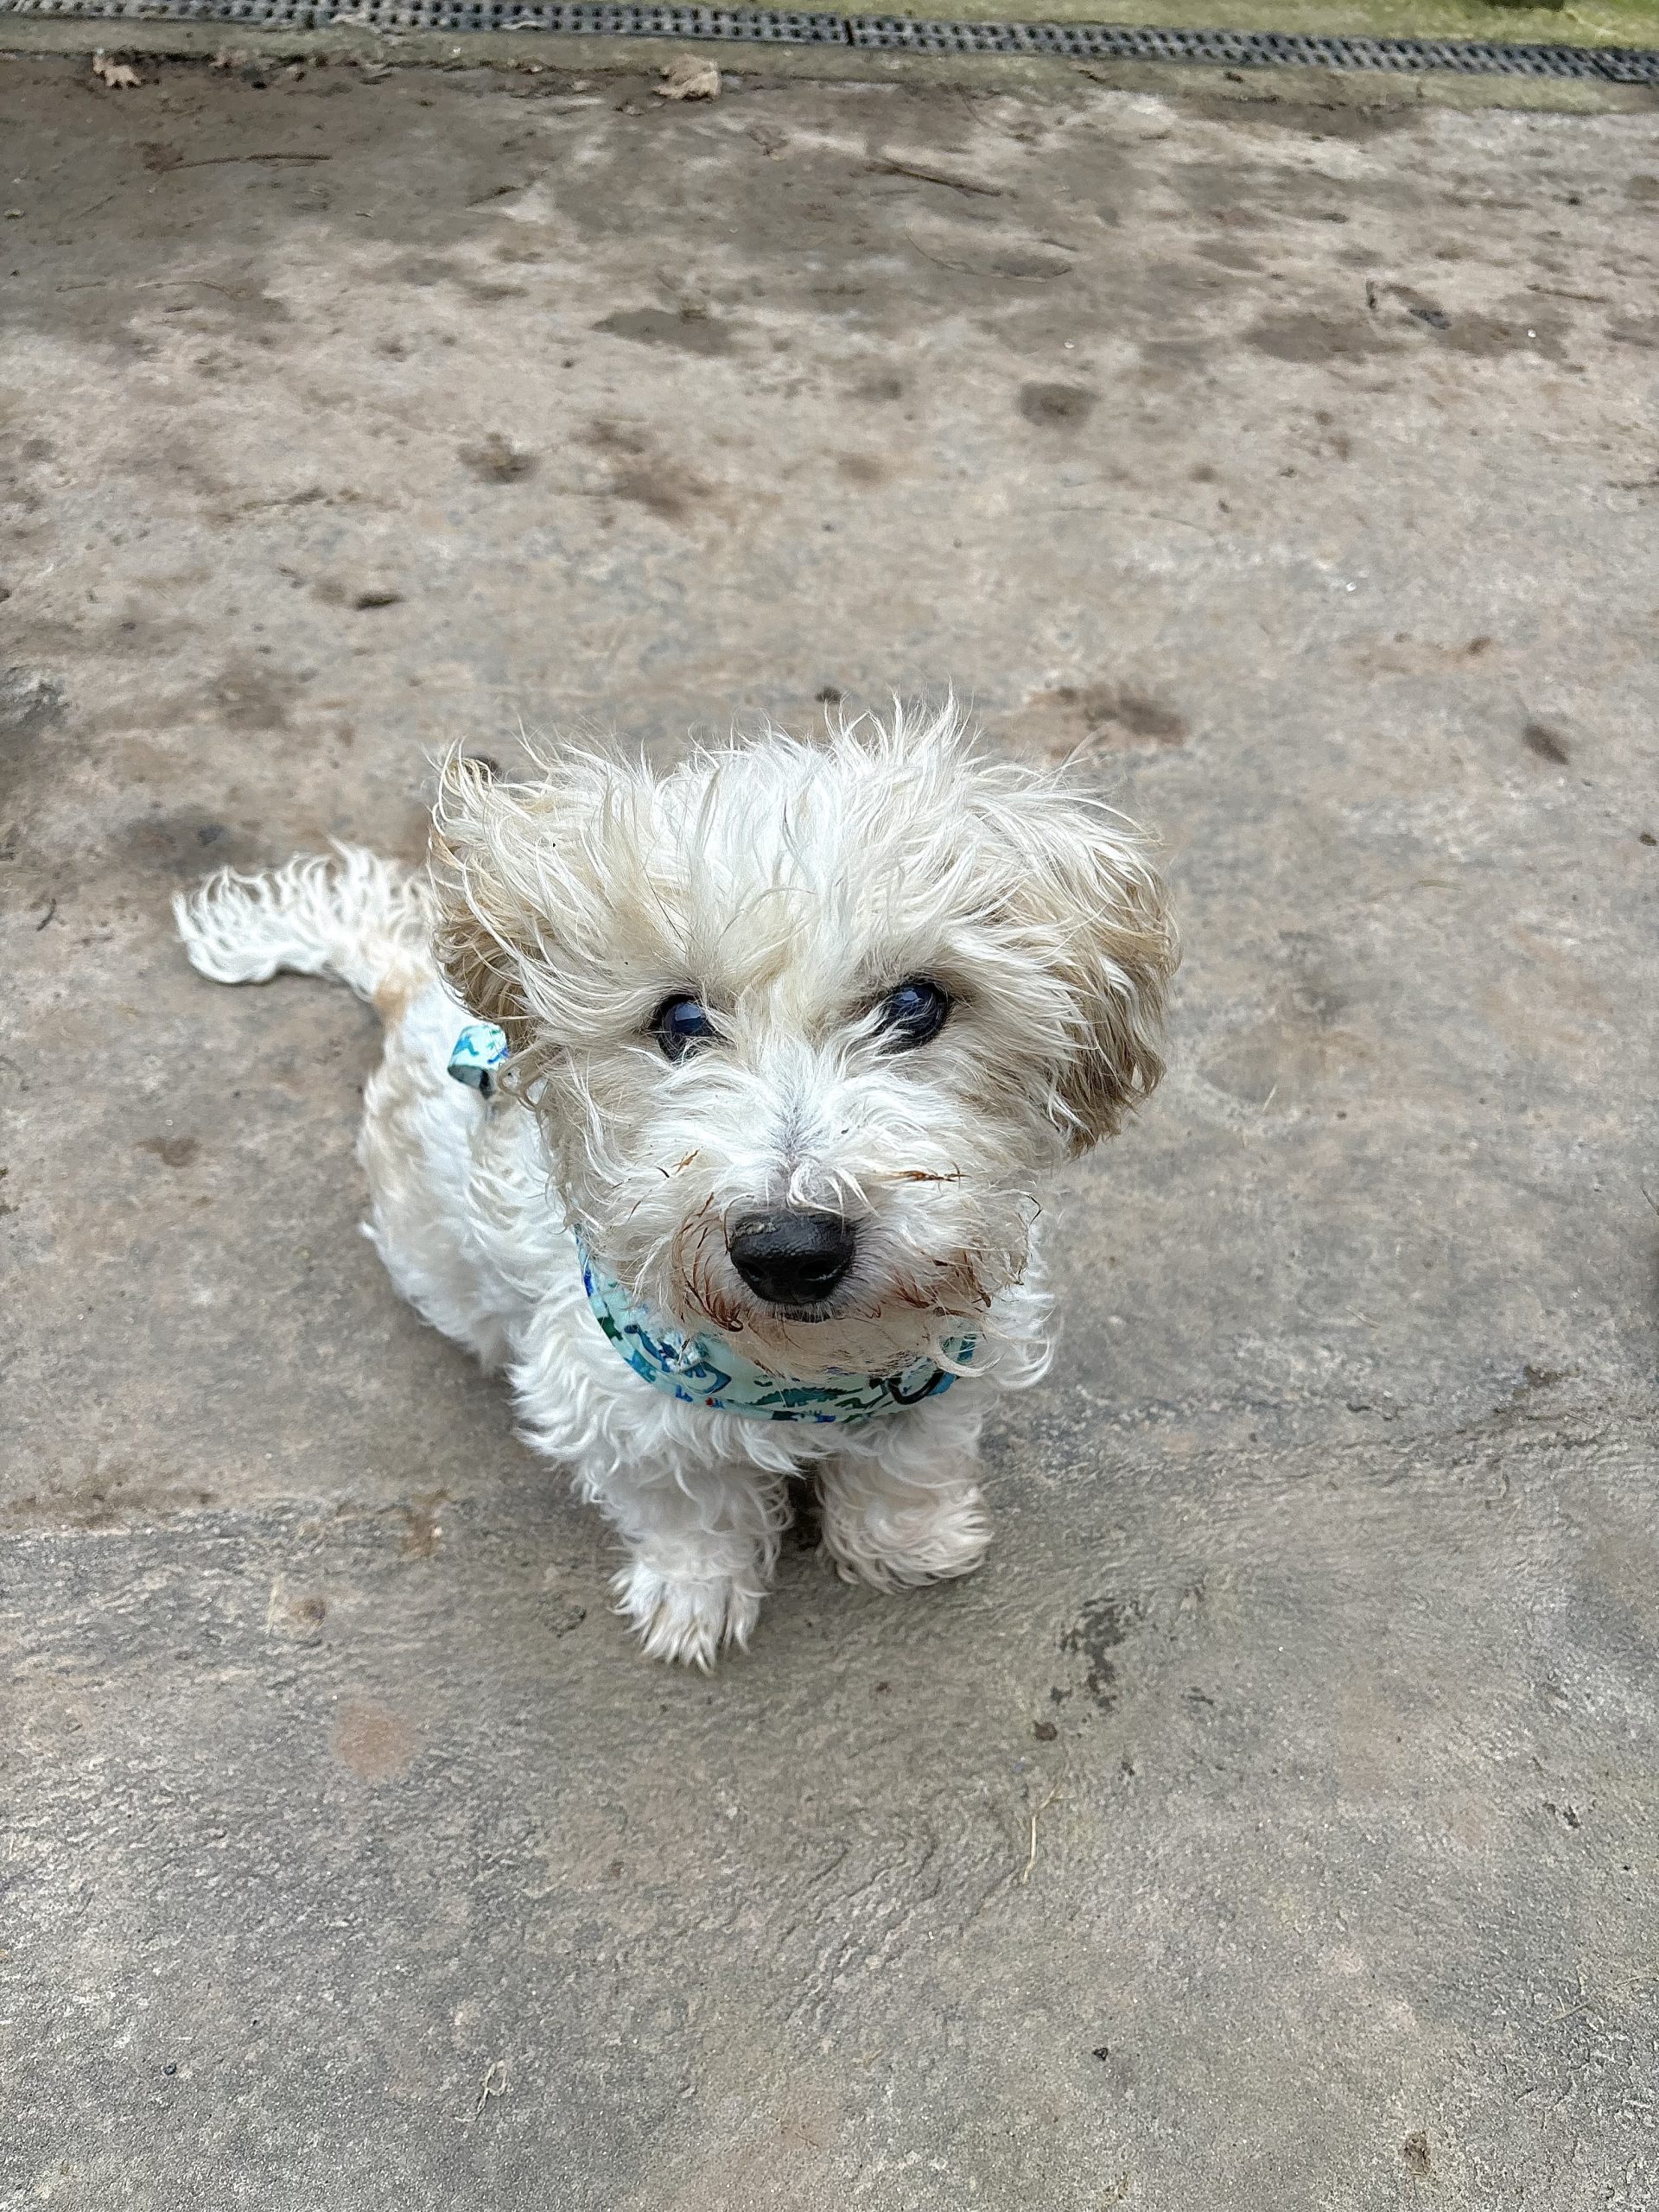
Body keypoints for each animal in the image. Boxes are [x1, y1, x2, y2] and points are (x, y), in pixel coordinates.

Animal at [175, 703, 1176, 1663]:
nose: (789, 1250)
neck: (806, 1373)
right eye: (681, 1019)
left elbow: (906, 1464)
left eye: (917, 1004)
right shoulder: (616, 1403)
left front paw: (907, 1544)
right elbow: (693, 1513)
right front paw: (695, 1599)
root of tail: (408, 989)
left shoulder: (953, 1354)